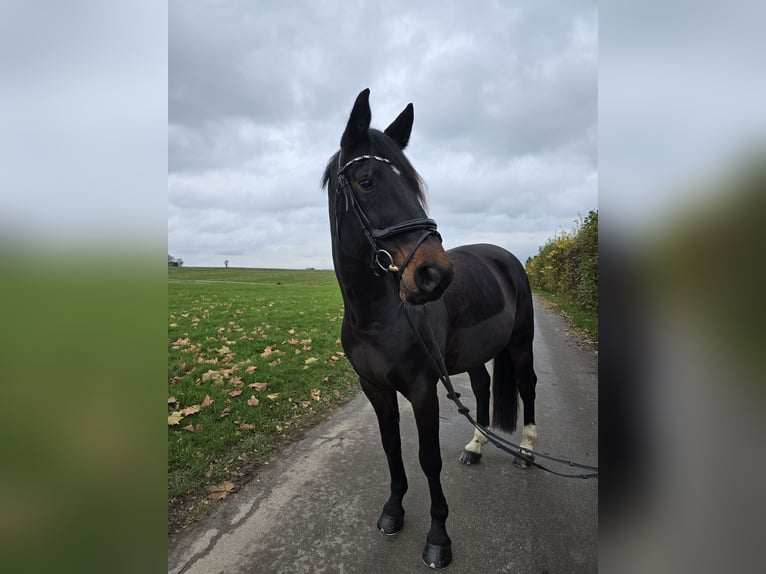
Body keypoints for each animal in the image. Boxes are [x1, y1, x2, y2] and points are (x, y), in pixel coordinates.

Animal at [320, 90, 536, 572]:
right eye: (366, 181)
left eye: (414, 185)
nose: (435, 274)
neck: (378, 316)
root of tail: (507, 257)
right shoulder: (375, 388)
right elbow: (392, 450)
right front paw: (393, 511)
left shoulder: (422, 388)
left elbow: (428, 458)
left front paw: (438, 537)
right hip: (476, 355)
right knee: (483, 387)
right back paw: (475, 447)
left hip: (521, 344)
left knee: (528, 388)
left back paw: (529, 452)